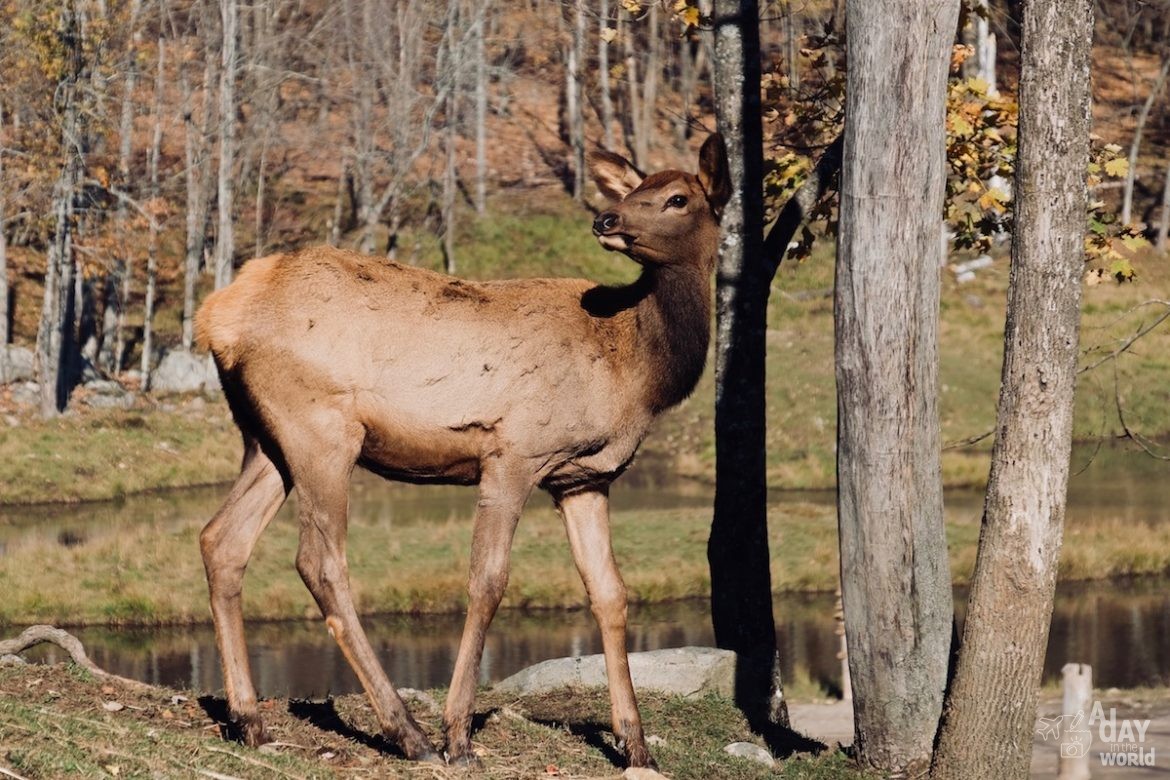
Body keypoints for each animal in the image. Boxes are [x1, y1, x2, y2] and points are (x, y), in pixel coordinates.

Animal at [195, 134, 725, 767]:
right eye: (635, 190)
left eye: (675, 197)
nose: (607, 219)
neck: (636, 369)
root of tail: (214, 318)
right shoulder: (514, 452)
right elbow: (488, 581)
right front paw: (458, 734)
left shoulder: (584, 478)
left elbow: (610, 592)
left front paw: (635, 744)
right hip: (320, 430)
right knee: (318, 561)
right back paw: (409, 732)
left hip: (264, 438)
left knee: (222, 539)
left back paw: (249, 719)